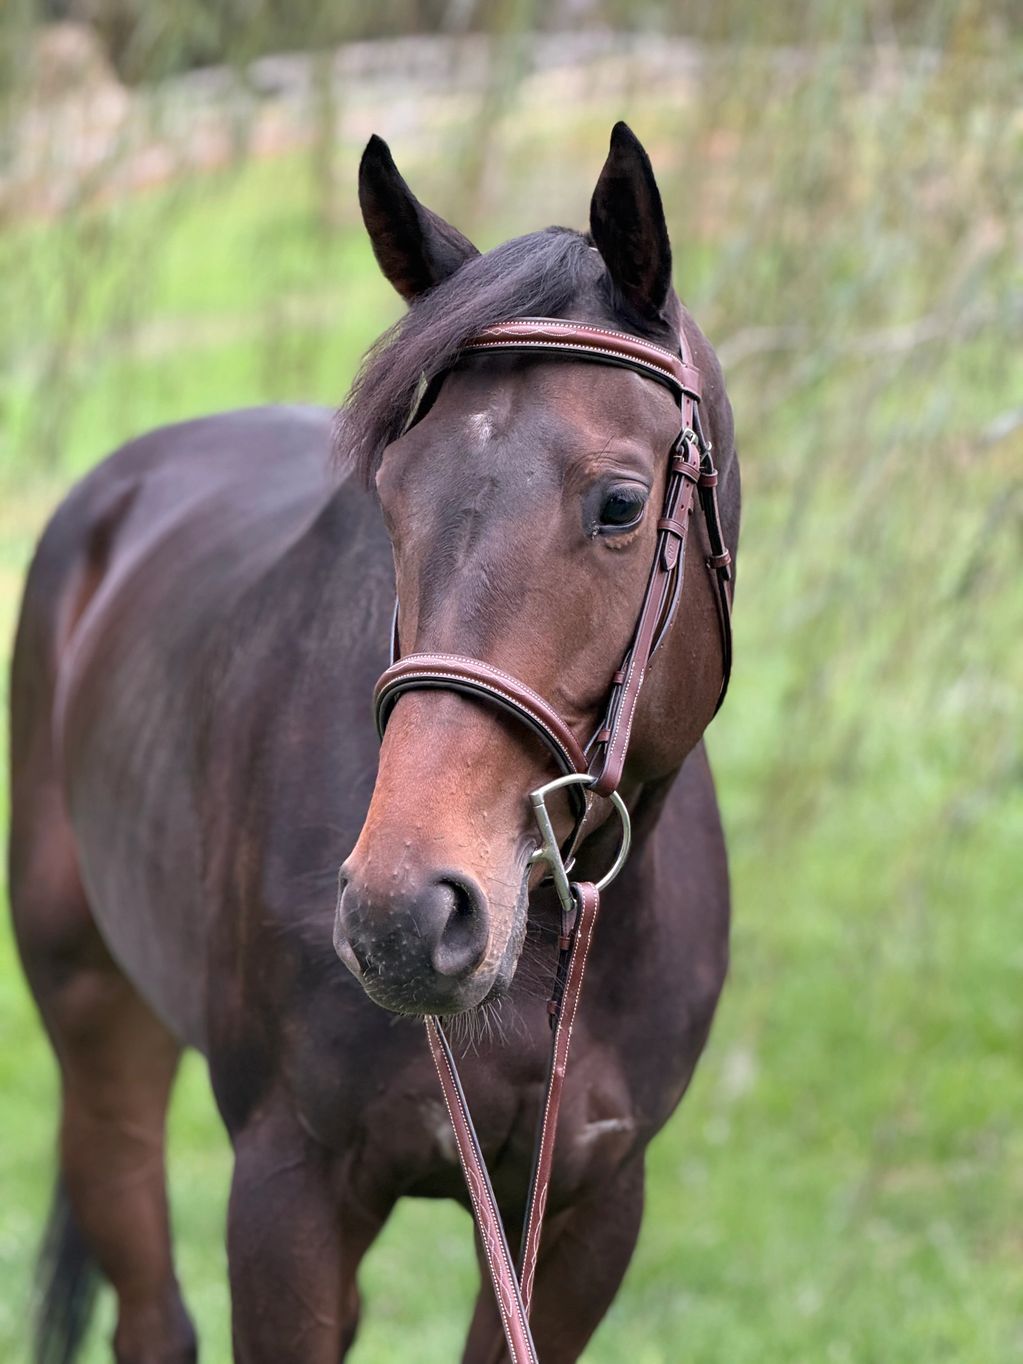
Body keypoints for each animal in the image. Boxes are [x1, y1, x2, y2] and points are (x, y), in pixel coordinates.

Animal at [9, 122, 740, 1363]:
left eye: (619, 503)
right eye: (390, 496)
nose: (404, 915)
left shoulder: (589, 1207)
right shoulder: (289, 1186)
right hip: (97, 1026)